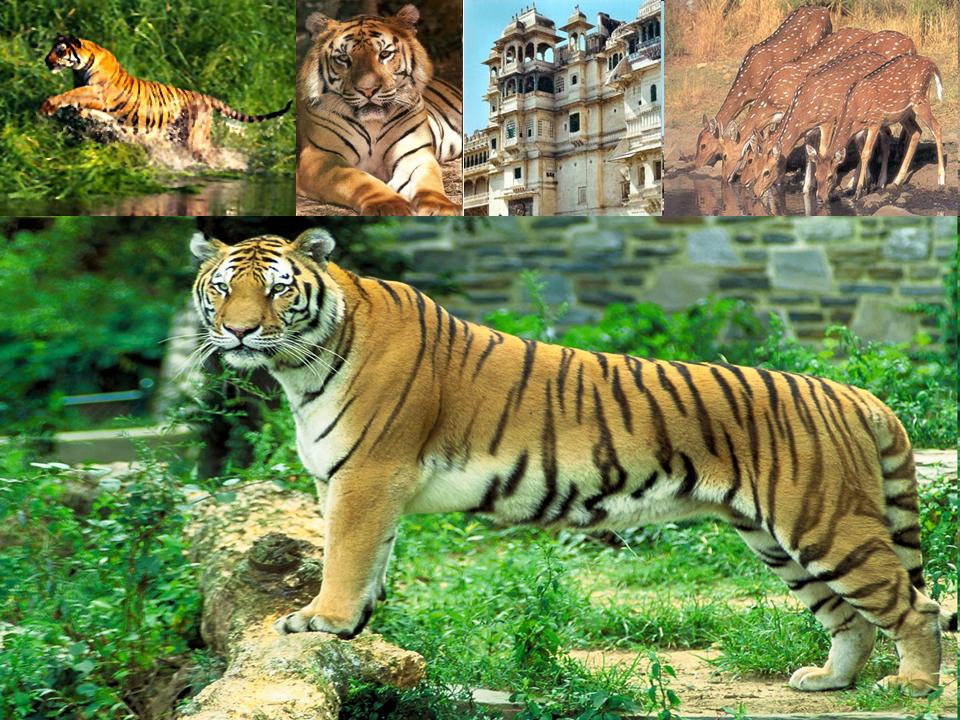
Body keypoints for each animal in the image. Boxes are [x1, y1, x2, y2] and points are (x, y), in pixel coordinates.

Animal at [41, 35, 291, 160]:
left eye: (60, 50)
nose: (46, 61)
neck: (80, 68)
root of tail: (205, 97)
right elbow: (78, 103)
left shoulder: (98, 92)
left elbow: (71, 95)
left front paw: (47, 107)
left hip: (195, 138)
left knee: (210, 153)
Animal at [190, 229, 956, 697]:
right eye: (222, 288)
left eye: (278, 289)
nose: (239, 331)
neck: (301, 364)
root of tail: (855, 392)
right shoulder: (356, 485)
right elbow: (370, 561)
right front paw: (352, 628)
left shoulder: (367, 477)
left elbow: (345, 558)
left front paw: (319, 620)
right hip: (777, 541)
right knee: (852, 620)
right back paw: (828, 681)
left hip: (827, 525)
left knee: (916, 607)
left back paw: (912, 686)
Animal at [296, 5, 462, 216]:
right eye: (344, 58)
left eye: (384, 54)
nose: (368, 90)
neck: (372, 124)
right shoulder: (320, 157)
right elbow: (360, 180)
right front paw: (389, 205)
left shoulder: (415, 155)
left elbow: (429, 182)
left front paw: (440, 206)